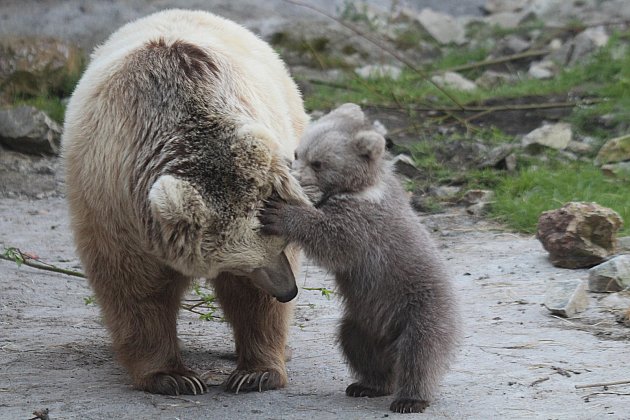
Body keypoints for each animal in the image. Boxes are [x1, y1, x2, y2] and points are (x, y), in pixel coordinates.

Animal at [63, 9, 310, 396]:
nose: (288, 291)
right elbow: (135, 287)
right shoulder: (113, 200)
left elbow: (250, 301)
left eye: (284, 242)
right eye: (244, 262)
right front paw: (172, 376)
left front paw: (256, 372)